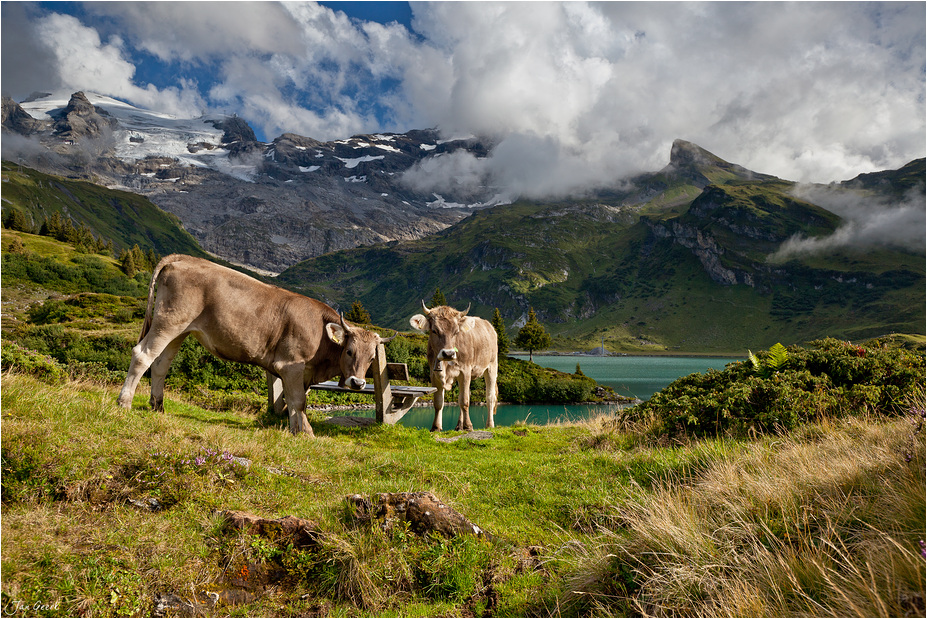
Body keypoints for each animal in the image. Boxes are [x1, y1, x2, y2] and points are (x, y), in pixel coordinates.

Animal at [118, 254, 388, 438]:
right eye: (349, 351)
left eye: (372, 358)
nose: (358, 383)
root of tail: (185, 258)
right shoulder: (291, 365)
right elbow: (298, 401)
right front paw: (302, 432)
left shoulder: (300, 373)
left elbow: (296, 402)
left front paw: (302, 431)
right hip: (168, 321)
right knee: (142, 355)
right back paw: (124, 403)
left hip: (179, 329)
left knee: (160, 364)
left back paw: (158, 406)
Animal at [412, 304, 500, 432]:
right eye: (434, 330)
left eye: (456, 331)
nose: (448, 353)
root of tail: (489, 326)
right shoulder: (434, 374)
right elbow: (438, 402)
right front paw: (436, 427)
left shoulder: (465, 371)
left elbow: (464, 401)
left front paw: (468, 426)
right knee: (464, 395)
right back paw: (459, 426)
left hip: (492, 366)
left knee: (490, 397)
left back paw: (489, 425)